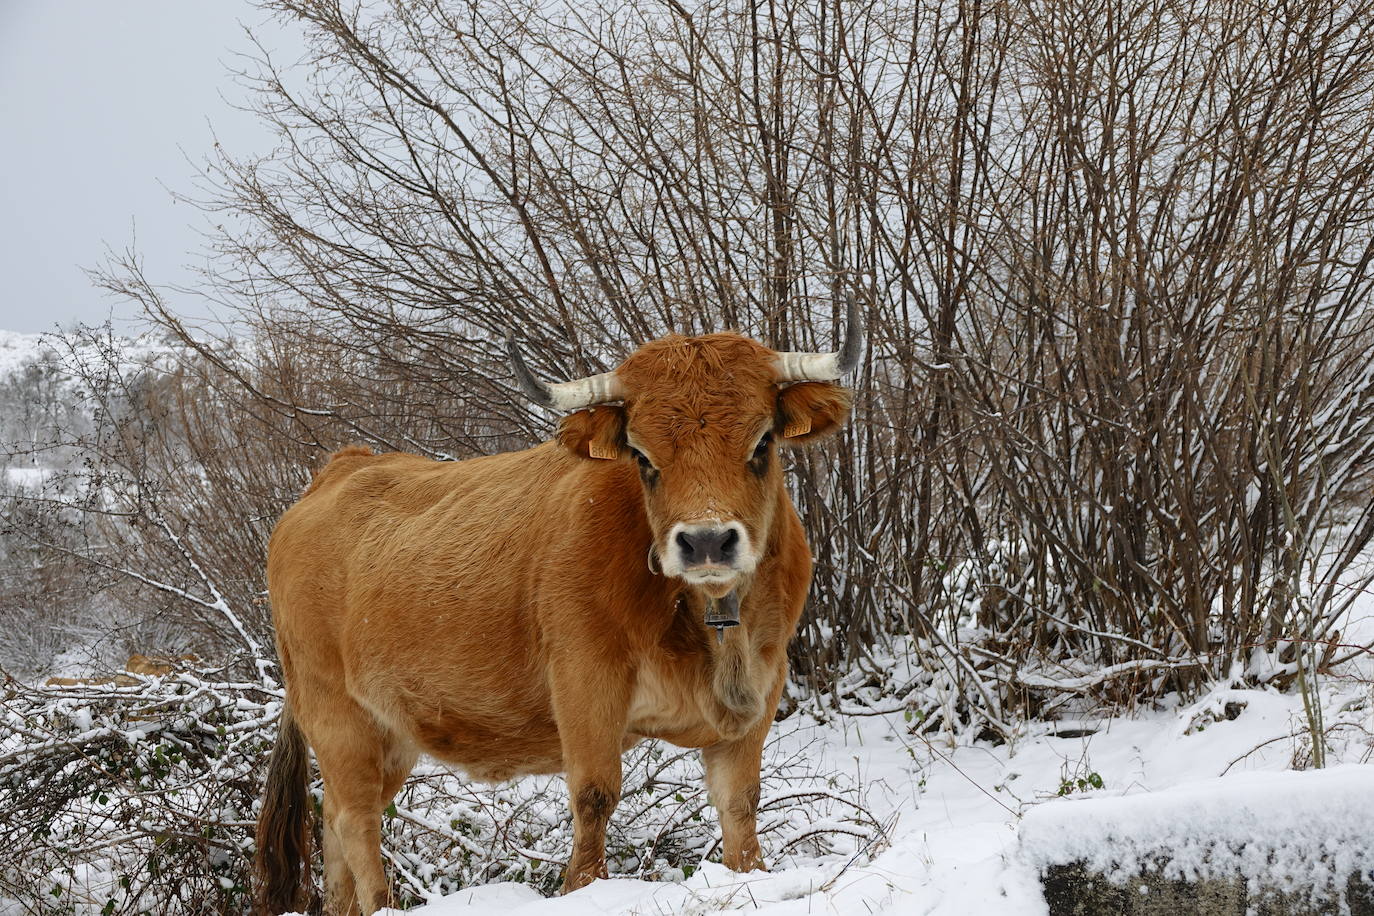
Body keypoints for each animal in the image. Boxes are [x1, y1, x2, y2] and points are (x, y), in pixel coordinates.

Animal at [252, 302, 857, 916]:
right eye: (643, 457)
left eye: (762, 444)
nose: (707, 541)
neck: (710, 622)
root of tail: (341, 469)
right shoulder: (585, 682)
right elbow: (595, 796)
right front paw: (583, 889)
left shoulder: (761, 689)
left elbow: (741, 803)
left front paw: (751, 876)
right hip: (336, 714)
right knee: (357, 820)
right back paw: (383, 903)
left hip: (389, 734)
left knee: (336, 821)